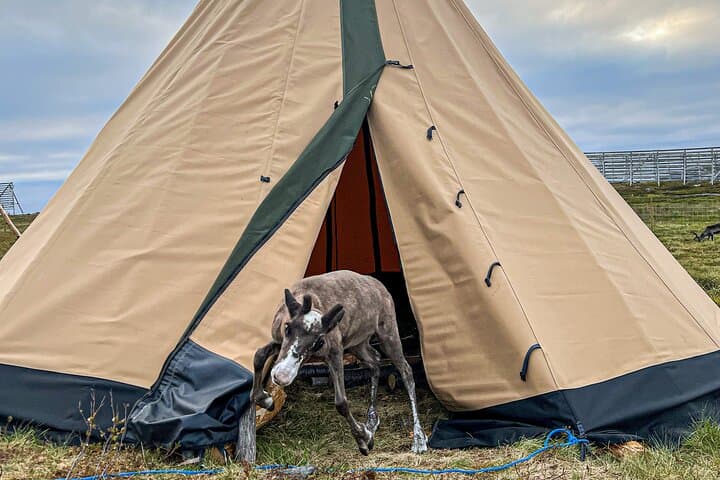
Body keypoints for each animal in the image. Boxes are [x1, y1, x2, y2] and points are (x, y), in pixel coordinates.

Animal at [250, 270, 428, 455]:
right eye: (287, 327)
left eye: (319, 342)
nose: (282, 376)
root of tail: (382, 287)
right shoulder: (278, 341)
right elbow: (258, 355)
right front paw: (265, 399)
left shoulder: (336, 351)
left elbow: (341, 402)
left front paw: (364, 440)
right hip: (358, 343)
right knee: (375, 360)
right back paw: (372, 419)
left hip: (388, 333)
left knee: (406, 370)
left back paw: (418, 438)